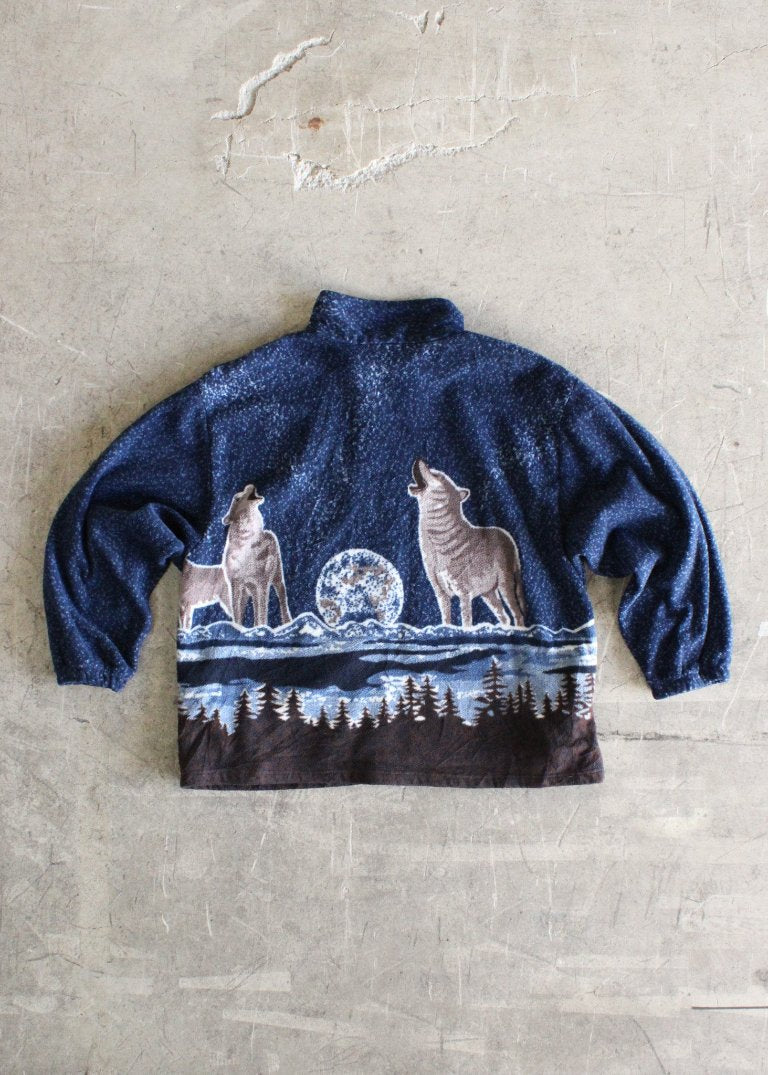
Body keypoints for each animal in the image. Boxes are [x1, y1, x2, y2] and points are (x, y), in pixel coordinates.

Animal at [222, 483, 292, 627]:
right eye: (237, 498)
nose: (250, 485)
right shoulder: (236, 584)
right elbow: (237, 612)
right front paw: (239, 628)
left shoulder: (262, 582)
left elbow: (262, 610)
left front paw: (262, 627)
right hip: (249, 589)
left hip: (277, 577)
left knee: (281, 597)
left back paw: (287, 622)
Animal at [408, 458, 527, 628]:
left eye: (437, 475)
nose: (419, 459)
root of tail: (507, 535)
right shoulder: (441, 594)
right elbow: (446, 620)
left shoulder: (464, 593)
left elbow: (466, 622)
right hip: (488, 593)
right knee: (504, 617)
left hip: (505, 585)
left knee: (517, 615)